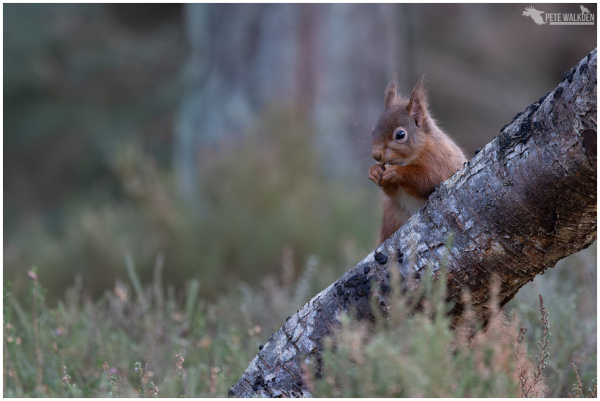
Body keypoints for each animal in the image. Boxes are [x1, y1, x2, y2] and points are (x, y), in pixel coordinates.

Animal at [366, 75, 468, 244]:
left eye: (400, 135)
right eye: (373, 131)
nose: (376, 155)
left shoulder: (439, 161)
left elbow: (428, 180)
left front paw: (397, 172)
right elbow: (393, 193)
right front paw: (374, 171)